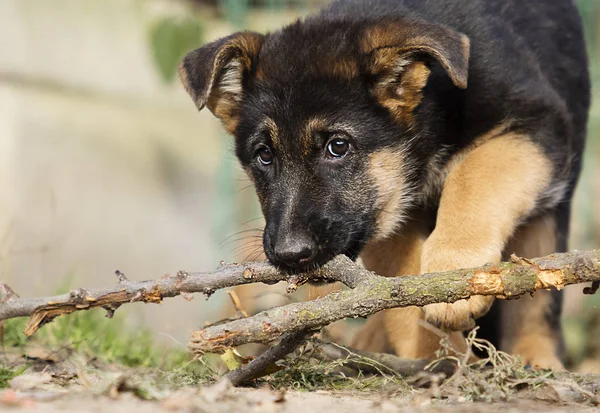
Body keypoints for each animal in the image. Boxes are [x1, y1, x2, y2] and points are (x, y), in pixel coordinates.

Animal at [179, 0, 592, 366]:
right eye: (264, 155)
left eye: (338, 147)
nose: (289, 255)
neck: (429, 115)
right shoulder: (383, 208)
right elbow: (398, 279)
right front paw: (434, 354)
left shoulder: (536, 128)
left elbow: (474, 174)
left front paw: (453, 271)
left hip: (551, 206)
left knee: (537, 299)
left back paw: (535, 358)